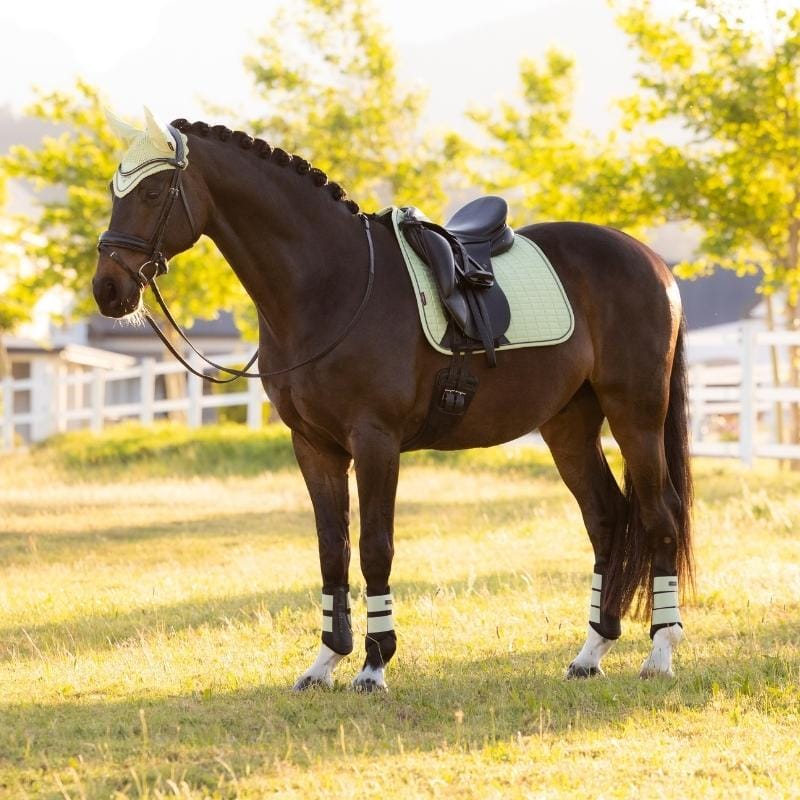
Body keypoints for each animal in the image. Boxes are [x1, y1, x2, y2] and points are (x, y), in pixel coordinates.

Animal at [93, 109, 693, 692]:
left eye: (152, 192)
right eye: (115, 191)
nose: (107, 290)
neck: (331, 284)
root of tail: (651, 262)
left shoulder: (375, 442)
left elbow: (374, 547)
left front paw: (374, 665)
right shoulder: (314, 447)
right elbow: (332, 550)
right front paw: (324, 663)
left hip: (636, 416)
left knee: (660, 514)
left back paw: (660, 653)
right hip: (568, 426)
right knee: (607, 517)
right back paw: (591, 653)